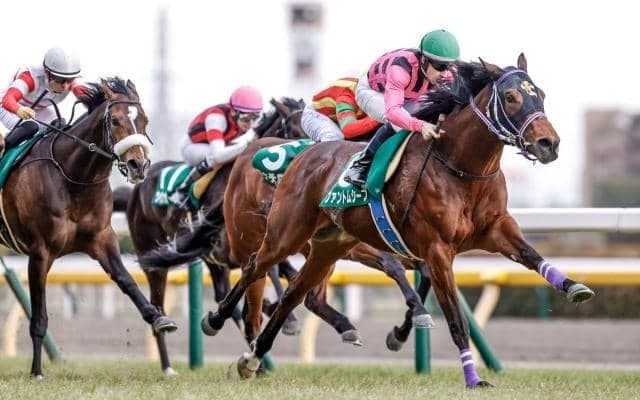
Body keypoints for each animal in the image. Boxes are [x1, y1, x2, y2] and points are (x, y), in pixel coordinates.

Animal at [0, 77, 177, 379]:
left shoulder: (102, 239)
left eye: (144, 120)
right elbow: (39, 316)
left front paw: (158, 318)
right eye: (115, 120)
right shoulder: (40, 252)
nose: (138, 164)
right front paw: (36, 371)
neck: (73, 179)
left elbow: (127, 281)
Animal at [113, 97, 307, 374]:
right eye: (294, 131)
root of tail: (135, 192)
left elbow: (279, 271)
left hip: (213, 263)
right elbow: (266, 271)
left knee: (223, 295)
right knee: (158, 305)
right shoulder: (234, 244)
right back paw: (168, 366)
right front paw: (288, 319)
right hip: (153, 258)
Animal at [188, 54, 595, 387]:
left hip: (327, 246)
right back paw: (217, 320)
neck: (461, 168)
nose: (549, 144)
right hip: (285, 235)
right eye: (511, 97)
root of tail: (303, 155)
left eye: (540, 94)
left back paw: (253, 358)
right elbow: (454, 319)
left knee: (293, 294)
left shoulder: (495, 230)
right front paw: (473, 378)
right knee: (255, 268)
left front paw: (574, 286)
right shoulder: (436, 249)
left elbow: (532, 256)